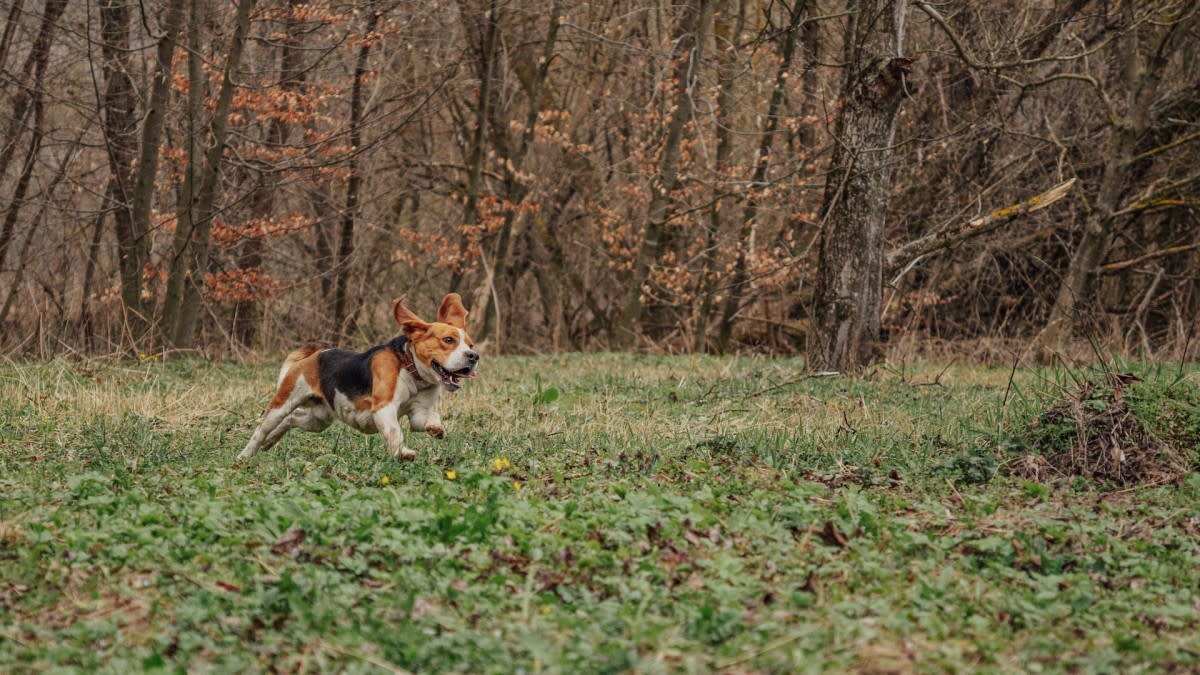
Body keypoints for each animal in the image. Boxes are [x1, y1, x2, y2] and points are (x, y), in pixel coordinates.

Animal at [234, 291, 477, 458]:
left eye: (470, 344)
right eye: (448, 340)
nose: (474, 356)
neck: (411, 370)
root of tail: (313, 355)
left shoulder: (419, 413)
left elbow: (427, 420)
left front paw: (436, 428)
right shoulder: (384, 408)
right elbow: (394, 432)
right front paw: (403, 453)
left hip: (319, 419)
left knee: (291, 420)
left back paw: (271, 441)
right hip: (283, 403)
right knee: (263, 429)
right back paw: (246, 455)